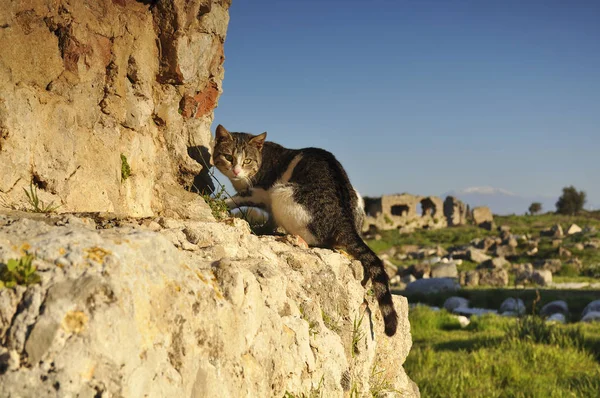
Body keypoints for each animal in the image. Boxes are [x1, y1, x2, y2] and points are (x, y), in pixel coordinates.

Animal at [212, 124, 398, 336]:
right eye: (228, 157)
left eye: (247, 161)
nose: (235, 170)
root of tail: (346, 221)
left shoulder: (260, 191)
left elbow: (237, 199)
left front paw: (220, 202)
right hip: (356, 196)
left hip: (282, 193)